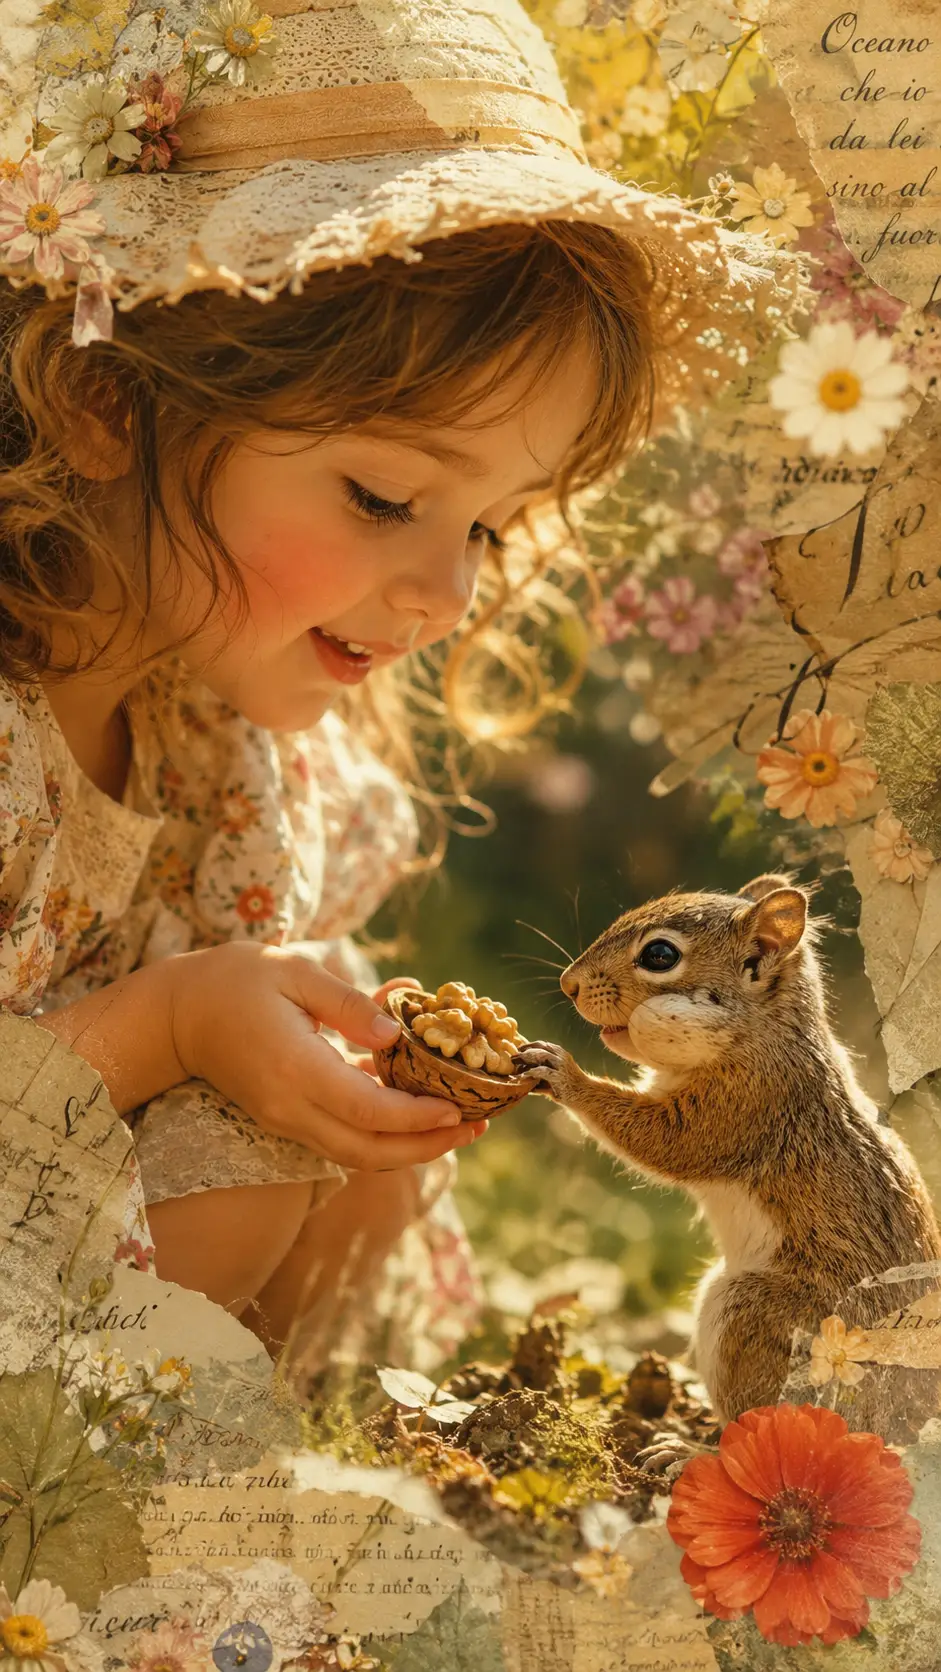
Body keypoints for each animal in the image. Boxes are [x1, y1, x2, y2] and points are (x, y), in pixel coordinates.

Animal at [516, 875, 941, 1437]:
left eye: (659, 955)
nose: (568, 984)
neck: (761, 1035)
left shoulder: (748, 1103)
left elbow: (665, 1141)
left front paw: (566, 1075)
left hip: (760, 1317)